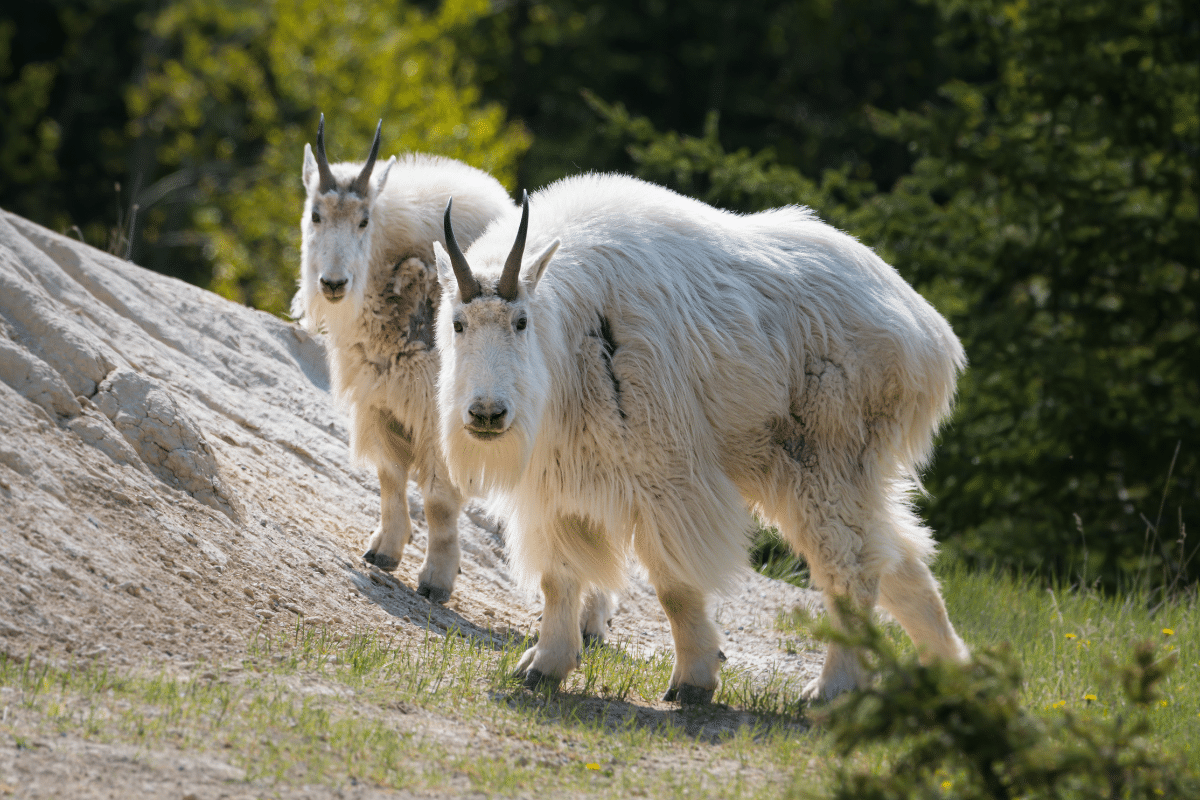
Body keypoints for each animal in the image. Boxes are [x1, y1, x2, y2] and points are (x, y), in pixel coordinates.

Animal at [436, 173, 969, 700]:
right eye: (458, 323)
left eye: (521, 321)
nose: (487, 414)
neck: (571, 335)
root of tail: (931, 335)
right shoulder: (556, 484)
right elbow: (558, 578)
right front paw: (544, 666)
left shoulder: (666, 474)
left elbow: (675, 585)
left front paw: (694, 680)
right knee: (900, 560)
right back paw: (950, 670)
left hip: (827, 458)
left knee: (852, 566)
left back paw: (832, 687)